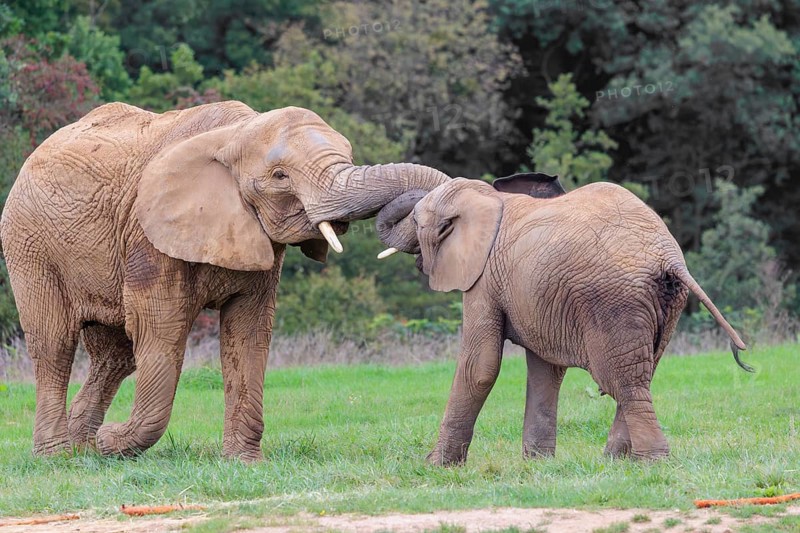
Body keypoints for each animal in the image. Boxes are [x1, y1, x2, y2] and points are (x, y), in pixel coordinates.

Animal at [0, 101, 450, 459]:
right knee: (55, 344)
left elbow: (248, 333)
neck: (234, 135)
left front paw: (243, 462)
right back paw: (58, 455)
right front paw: (113, 443)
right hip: (28, 245)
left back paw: (83, 447)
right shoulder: (147, 232)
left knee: (115, 354)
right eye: (281, 176)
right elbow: (160, 332)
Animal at [375, 173, 751, 464]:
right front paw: (537, 465)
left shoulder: (483, 280)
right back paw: (615, 461)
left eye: (417, 222)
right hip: (666, 305)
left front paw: (435, 466)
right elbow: (545, 370)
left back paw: (648, 462)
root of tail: (668, 257)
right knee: (642, 375)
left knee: (625, 383)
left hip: (613, 302)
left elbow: (480, 366)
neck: (488, 199)